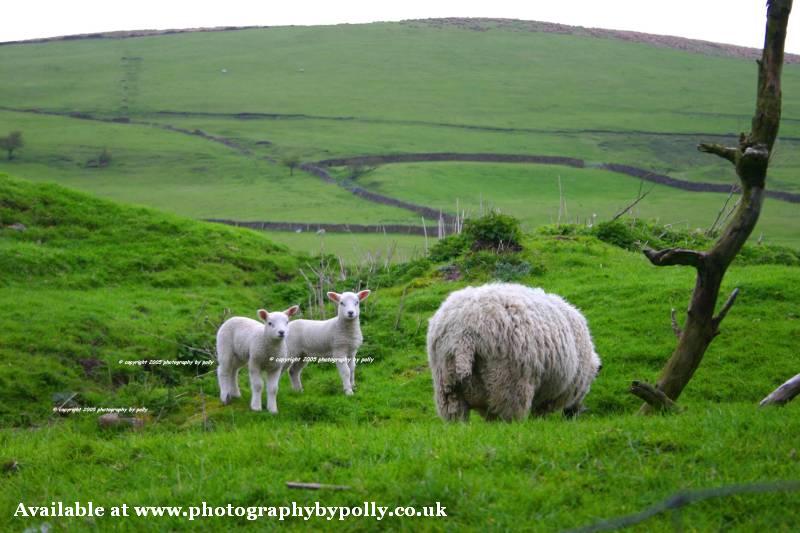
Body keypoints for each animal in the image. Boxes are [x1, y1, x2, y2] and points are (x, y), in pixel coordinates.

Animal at [424, 280, 600, 422]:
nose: (572, 415)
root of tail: (464, 334)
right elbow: (540, 412)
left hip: (447, 384)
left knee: (456, 416)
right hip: (509, 381)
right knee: (510, 415)